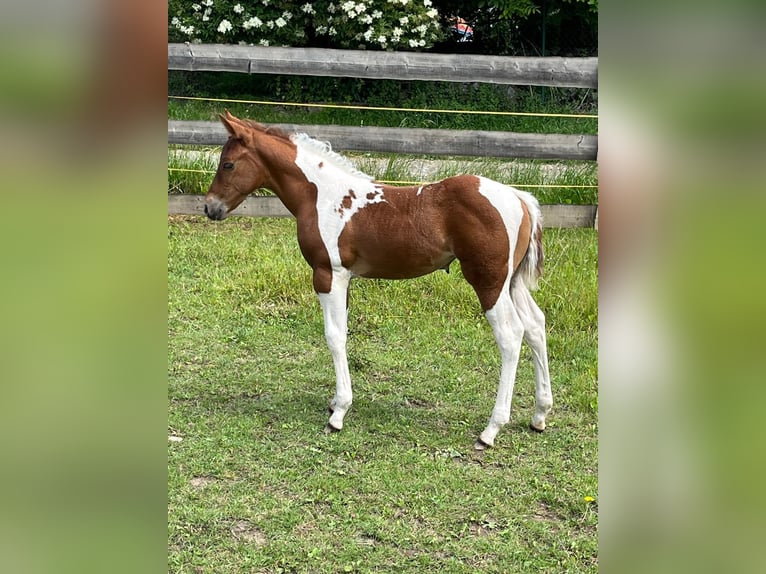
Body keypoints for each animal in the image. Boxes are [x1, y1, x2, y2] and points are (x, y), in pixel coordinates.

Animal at [204, 111, 553, 449]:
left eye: (228, 164)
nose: (210, 207)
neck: (322, 195)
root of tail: (519, 198)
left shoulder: (328, 273)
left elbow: (334, 336)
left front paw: (338, 414)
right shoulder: (345, 278)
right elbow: (343, 332)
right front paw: (336, 403)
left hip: (488, 281)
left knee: (511, 336)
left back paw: (490, 431)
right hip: (511, 282)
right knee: (535, 325)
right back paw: (539, 415)